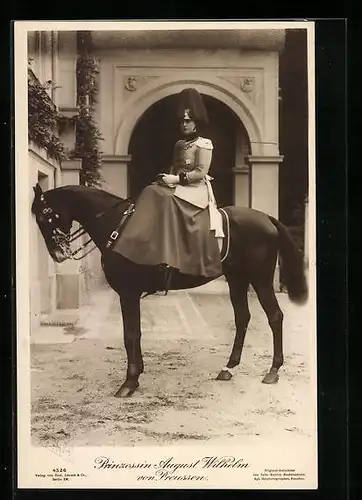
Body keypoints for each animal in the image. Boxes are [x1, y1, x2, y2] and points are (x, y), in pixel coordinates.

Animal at [31, 184, 308, 398]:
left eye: (45, 216)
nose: (58, 255)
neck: (119, 226)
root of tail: (266, 218)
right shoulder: (130, 294)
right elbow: (135, 333)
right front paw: (137, 375)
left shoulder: (128, 292)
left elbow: (130, 334)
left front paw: (129, 382)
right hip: (237, 280)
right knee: (243, 318)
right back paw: (229, 367)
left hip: (260, 280)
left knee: (275, 317)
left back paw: (273, 370)